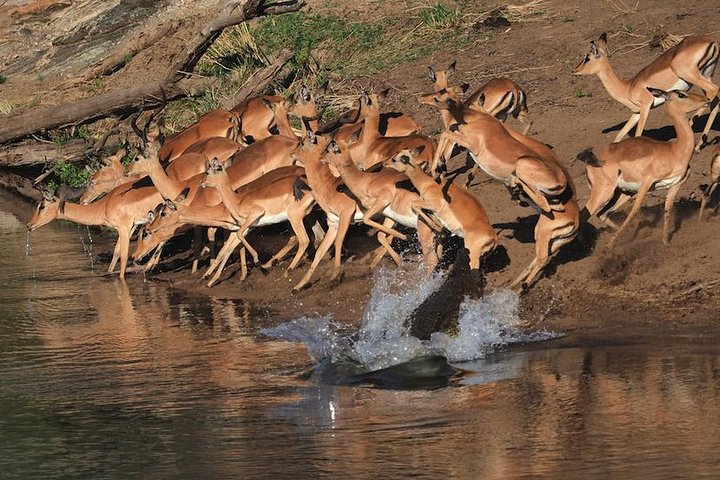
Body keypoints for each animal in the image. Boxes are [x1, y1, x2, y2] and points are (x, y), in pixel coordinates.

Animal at [320, 139, 439, 269]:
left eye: (328, 149)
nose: (321, 158)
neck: (365, 181)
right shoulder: (388, 214)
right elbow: (380, 235)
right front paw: (399, 260)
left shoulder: (383, 200)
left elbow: (367, 220)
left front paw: (404, 237)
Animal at [573, 33, 719, 150]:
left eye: (587, 58)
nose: (574, 70)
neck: (628, 87)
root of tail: (712, 41)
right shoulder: (636, 113)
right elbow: (619, 135)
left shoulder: (646, 106)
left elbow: (638, 134)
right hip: (706, 74)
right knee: (715, 101)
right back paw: (699, 145)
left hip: (693, 76)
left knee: (713, 92)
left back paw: (692, 129)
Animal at [578, 88, 710, 246]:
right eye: (681, 94)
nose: (706, 99)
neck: (675, 151)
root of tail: (592, 160)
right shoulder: (647, 182)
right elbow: (635, 210)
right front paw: (610, 245)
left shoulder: (675, 185)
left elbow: (668, 210)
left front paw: (665, 243)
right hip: (604, 192)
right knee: (584, 214)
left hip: (624, 193)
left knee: (601, 213)